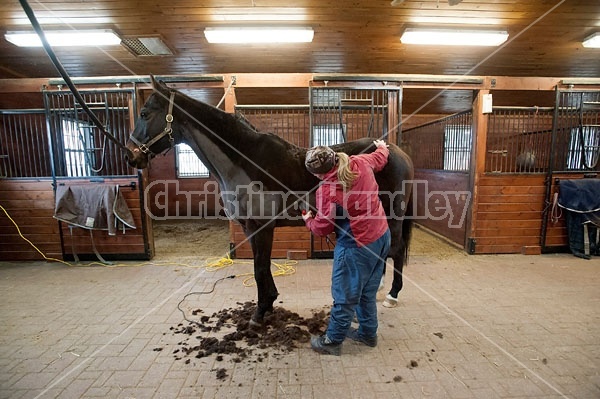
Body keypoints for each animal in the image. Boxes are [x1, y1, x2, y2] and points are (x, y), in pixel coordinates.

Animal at [126, 76, 414, 326]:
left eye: (145, 113)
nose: (131, 156)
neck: (243, 161)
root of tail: (399, 153)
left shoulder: (261, 227)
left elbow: (260, 268)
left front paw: (260, 312)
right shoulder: (248, 228)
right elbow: (261, 268)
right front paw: (269, 304)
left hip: (392, 216)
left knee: (396, 249)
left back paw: (391, 294)